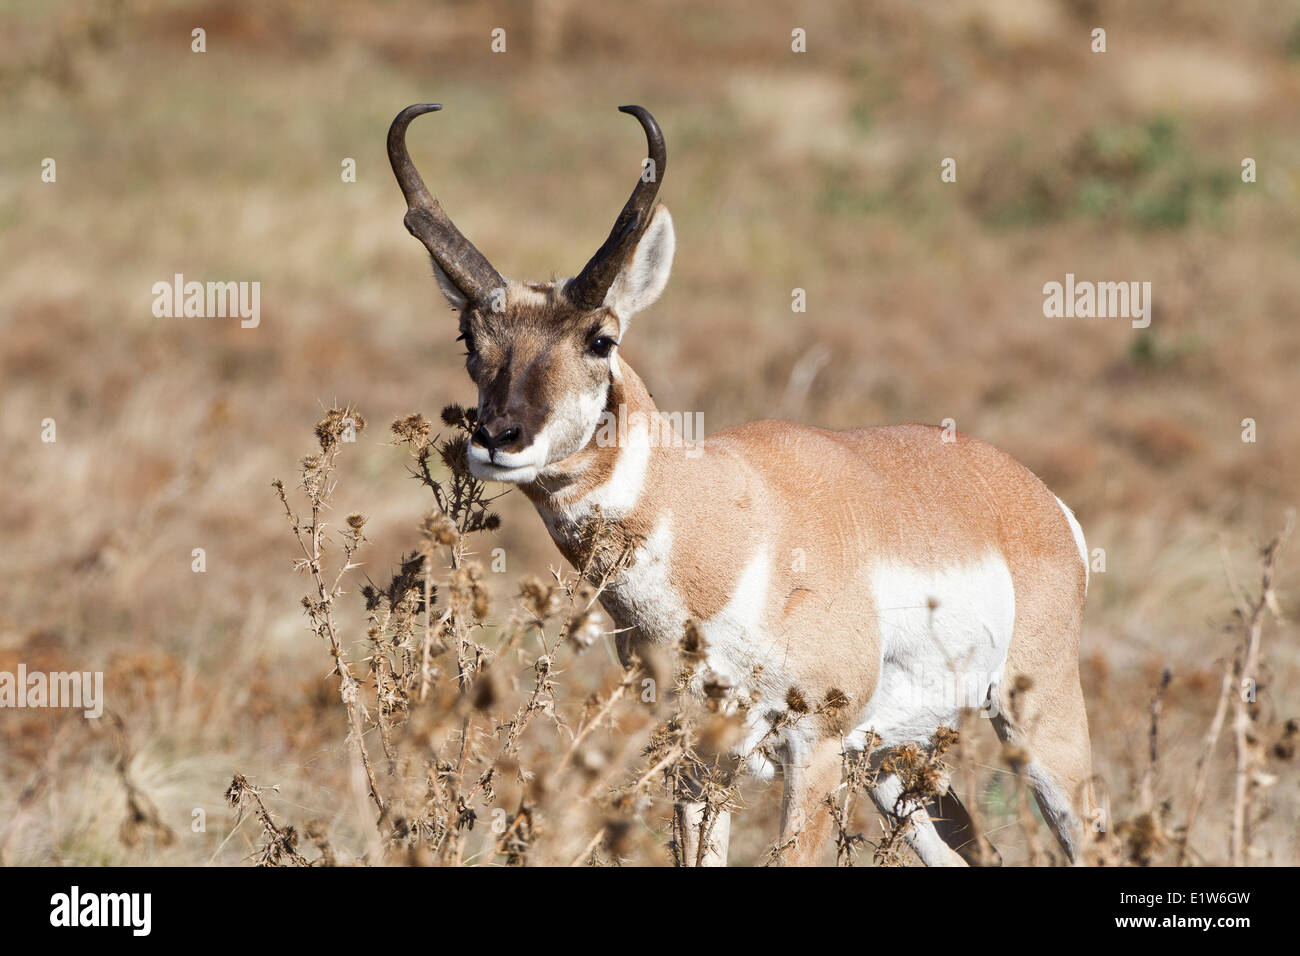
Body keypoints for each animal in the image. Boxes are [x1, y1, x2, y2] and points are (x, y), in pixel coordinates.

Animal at [387, 104, 1097, 868]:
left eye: (601, 339)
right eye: (470, 338)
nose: (498, 437)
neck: (726, 521)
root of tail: (1031, 493)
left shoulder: (813, 750)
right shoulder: (697, 760)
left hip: (1037, 725)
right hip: (890, 764)